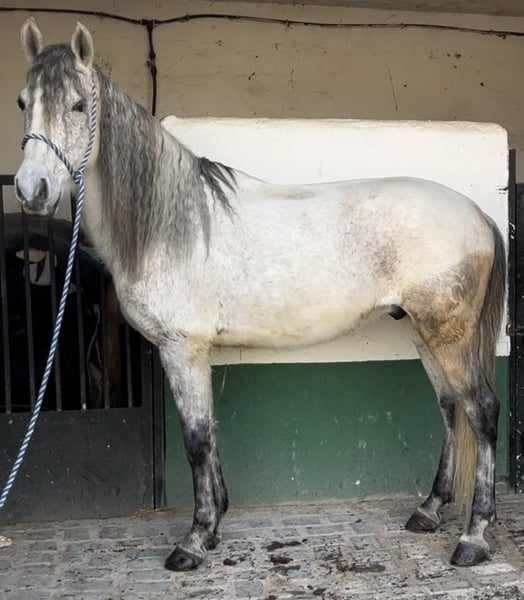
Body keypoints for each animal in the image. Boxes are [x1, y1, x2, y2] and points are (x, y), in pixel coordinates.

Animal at [15, 19, 508, 572]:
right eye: (22, 102)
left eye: (79, 105)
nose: (31, 190)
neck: (172, 225)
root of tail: (475, 212)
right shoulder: (196, 353)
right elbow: (209, 433)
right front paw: (213, 528)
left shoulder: (182, 350)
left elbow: (195, 439)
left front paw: (194, 540)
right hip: (425, 332)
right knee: (450, 407)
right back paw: (429, 510)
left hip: (450, 336)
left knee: (482, 412)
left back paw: (473, 537)